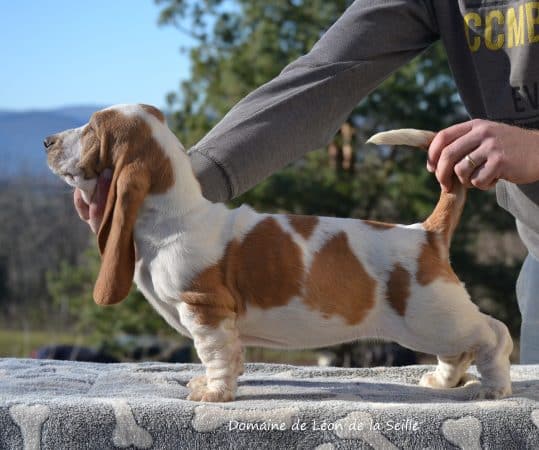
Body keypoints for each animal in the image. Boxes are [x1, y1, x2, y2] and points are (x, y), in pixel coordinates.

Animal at [44, 104, 512, 400]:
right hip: (435, 323)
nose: (47, 140)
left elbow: (214, 355)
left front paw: (214, 395)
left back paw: (494, 387)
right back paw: (443, 382)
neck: (175, 214)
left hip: (432, 317)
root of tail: (426, 233)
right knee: (463, 347)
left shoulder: (206, 310)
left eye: (90, 130)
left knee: (494, 333)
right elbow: (233, 355)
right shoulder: (223, 320)